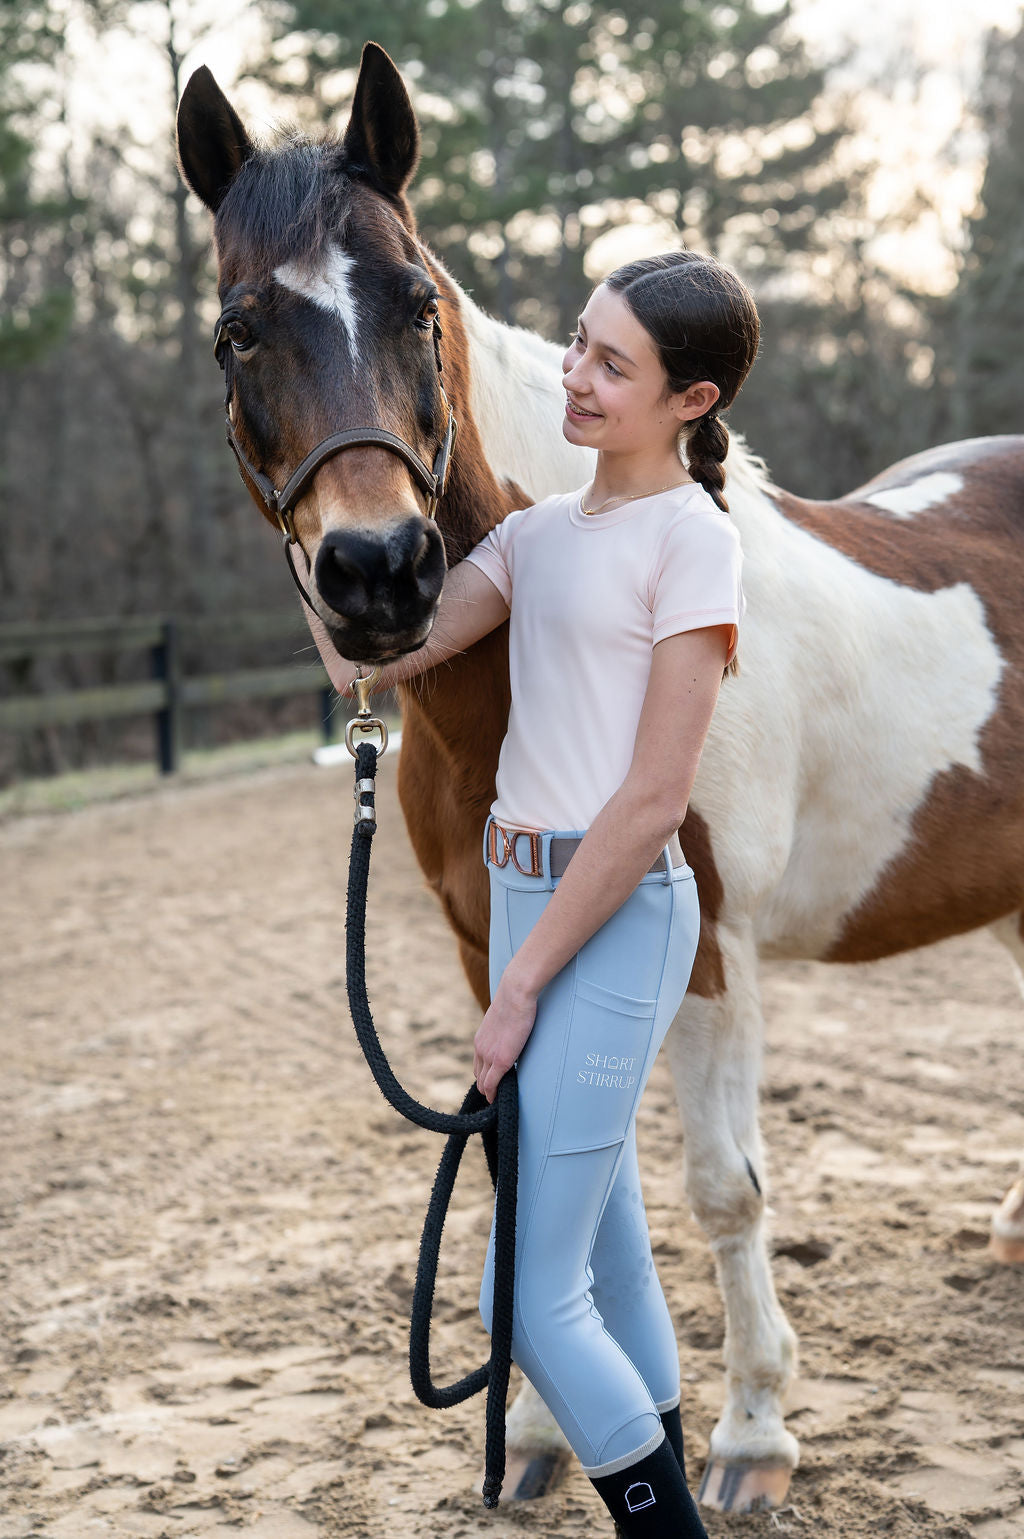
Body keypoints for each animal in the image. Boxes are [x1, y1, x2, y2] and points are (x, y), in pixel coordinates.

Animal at [176, 41, 1024, 1515]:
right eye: (237, 332)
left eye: (417, 304)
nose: (380, 574)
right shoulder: (491, 950)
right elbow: (527, 1168)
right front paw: (531, 1434)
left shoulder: (712, 949)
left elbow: (724, 1188)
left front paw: (751, 1438)